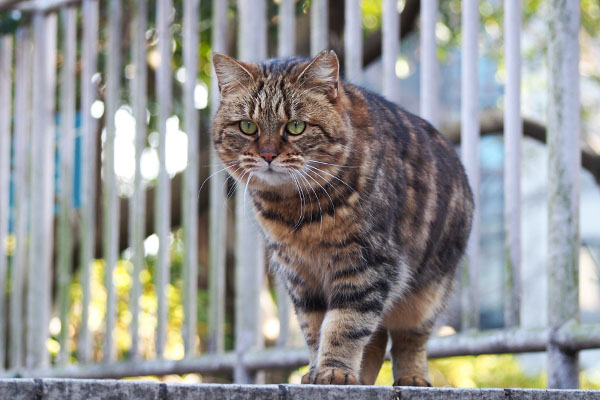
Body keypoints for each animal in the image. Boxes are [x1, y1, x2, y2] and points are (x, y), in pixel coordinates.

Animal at [211, 48, 474, 386]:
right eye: (247, 126)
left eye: (295, 127)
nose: (268, 154)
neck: (296, 213)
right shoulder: (299, 275)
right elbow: (315, 328)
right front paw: (318, 370)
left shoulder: (367, 264)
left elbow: (345, 325)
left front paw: (334, 369)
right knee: (377, 339)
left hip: (427, 291)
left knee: (409, 338)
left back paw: (412, 378)